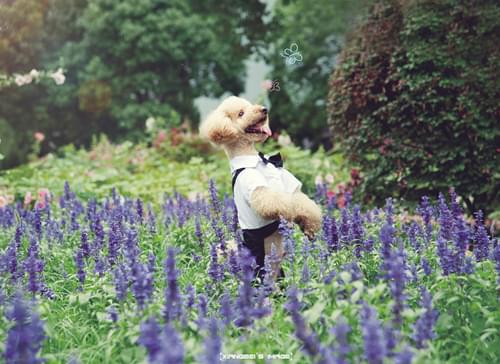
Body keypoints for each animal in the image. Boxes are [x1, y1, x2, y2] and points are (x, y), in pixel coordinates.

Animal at [198, 96, 320, 282]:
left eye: (249, 106)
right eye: (241, 113)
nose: (264, 109)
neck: (258, 161)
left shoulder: (286, 182)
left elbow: (301, 201)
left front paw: (310, 227)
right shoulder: (260, 193)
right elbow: (280, 203)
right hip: (259, 270)